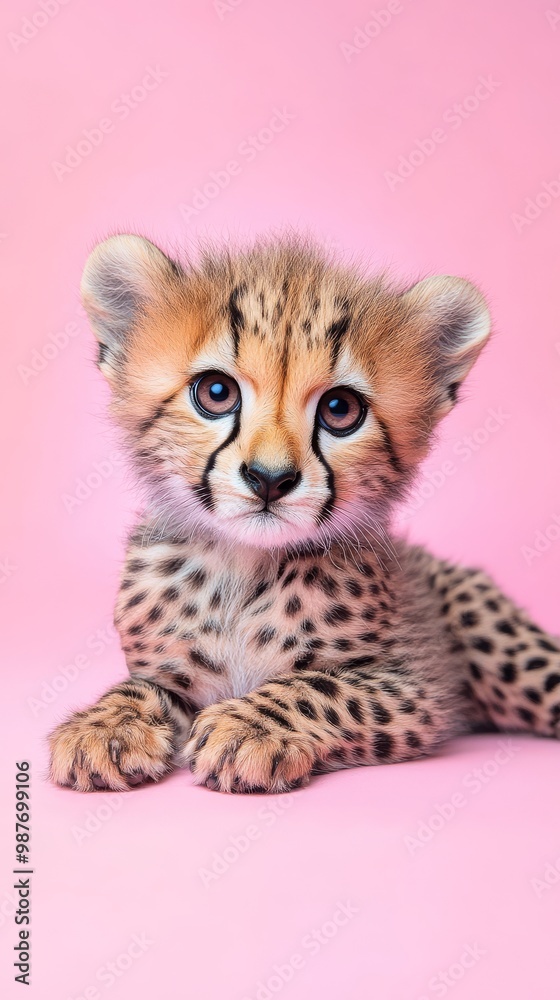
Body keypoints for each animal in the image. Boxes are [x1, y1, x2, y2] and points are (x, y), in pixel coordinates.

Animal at [48, 233, 560, 794]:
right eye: (216, 393)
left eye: (340, 410)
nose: (270, 478)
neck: (243, 566)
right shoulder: (167, 672)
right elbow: (139, 687)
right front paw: (103, 726)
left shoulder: (417, 686)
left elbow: (319, 686)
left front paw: (247, 726)